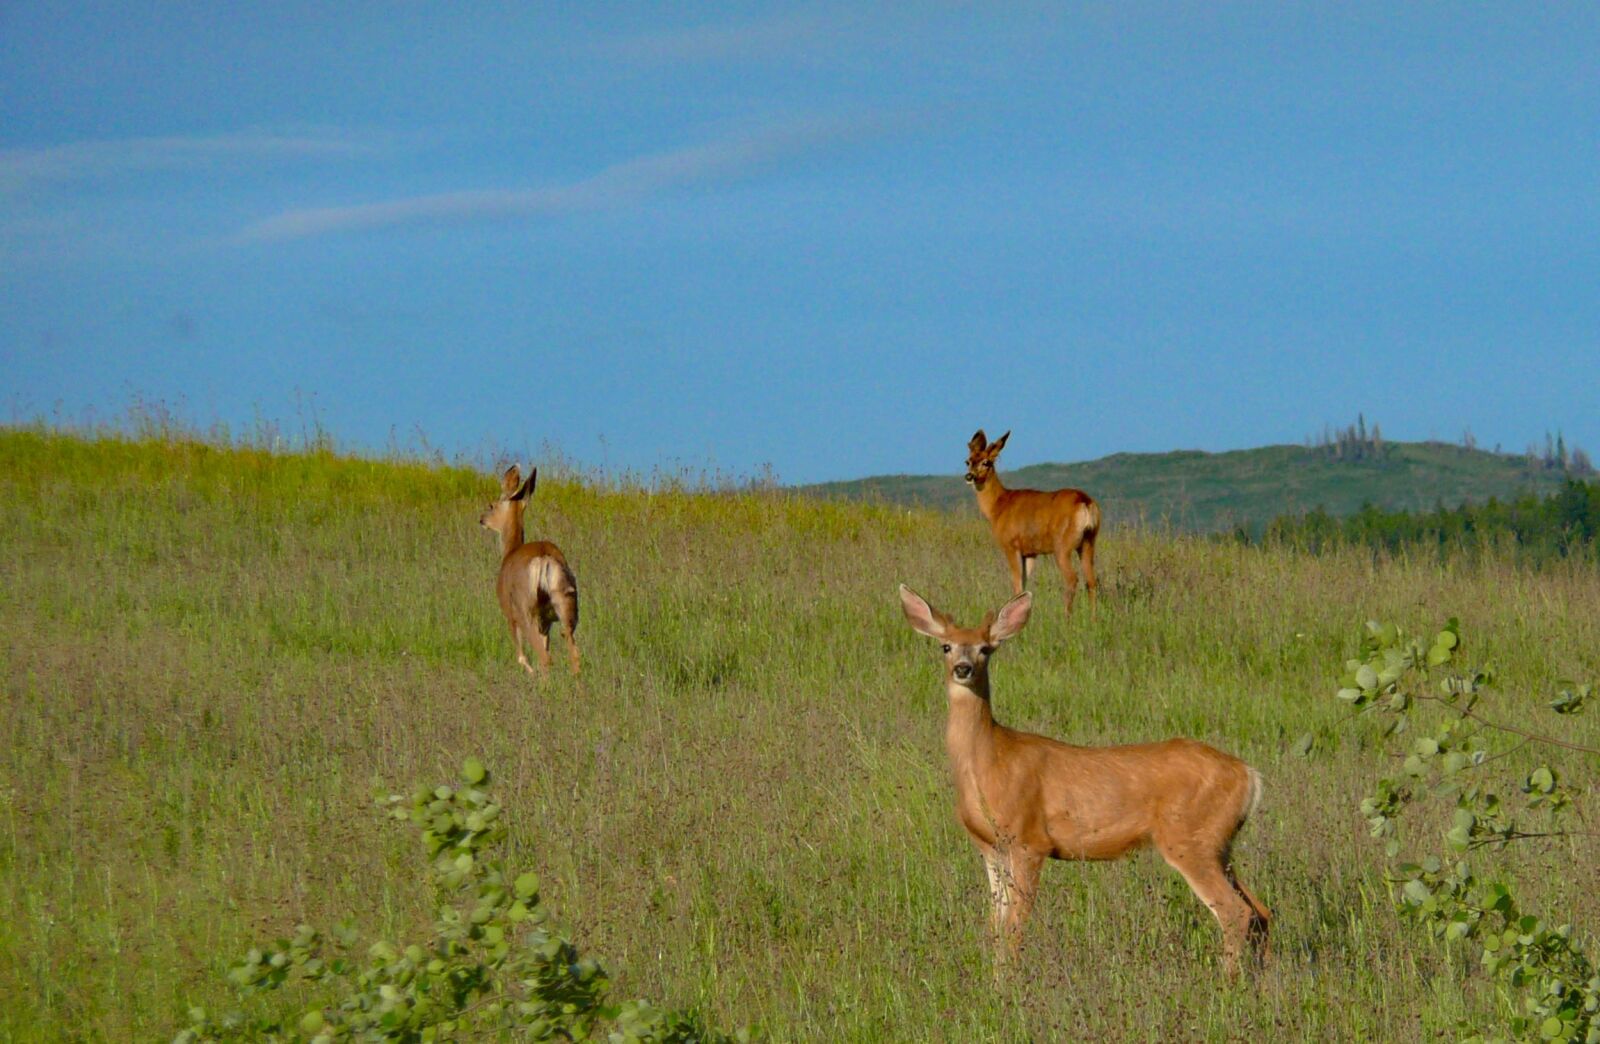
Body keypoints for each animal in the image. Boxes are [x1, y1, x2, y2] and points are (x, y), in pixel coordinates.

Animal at [480, 464, 582, 675]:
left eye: (492, 505)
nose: (481, 519)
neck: (510, 551)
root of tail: (544, 558)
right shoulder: (546, 622)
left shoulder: (509, 614)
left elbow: (521, 656)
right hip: (565, 605)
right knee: (574, 655)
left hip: (526, 611)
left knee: (545, 658)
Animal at [896, 586, 1267, 973]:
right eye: (946, 646)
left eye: (986, 648)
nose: (963, 668)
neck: (988, 763)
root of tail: (1250, 776)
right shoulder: (990, 848)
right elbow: (995, 927)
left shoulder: (1030, 841)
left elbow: (1014, 928)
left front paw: (1009, 984)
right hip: (1219, 844)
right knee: (1261, 911)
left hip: (1190, 840)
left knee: (1236, 913)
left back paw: (1226, 981)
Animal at [960, 429, 1100, 614]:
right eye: (968, 461)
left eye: (986, 462)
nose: (969, 476)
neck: (998, 506)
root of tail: (1085, 501)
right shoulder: (1030, 552)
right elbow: (1025, 586)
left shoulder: (1011, 545)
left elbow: (1017, 585)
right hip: (1088, 541)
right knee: (1091, 580)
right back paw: (1093, 618)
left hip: (1062, 545)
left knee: (1072, 578)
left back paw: (1066, 617)